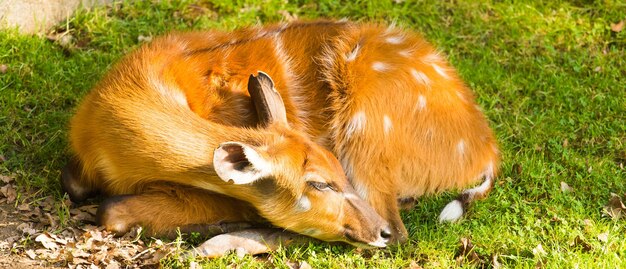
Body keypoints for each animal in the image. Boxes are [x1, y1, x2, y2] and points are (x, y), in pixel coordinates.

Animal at [63, 18, 500, 253]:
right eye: (319, 183)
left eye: (335, 176)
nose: (377, 230)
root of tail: (486, 150)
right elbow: (77, 186)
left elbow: (110, 209)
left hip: (367, 129)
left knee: (401, 235)